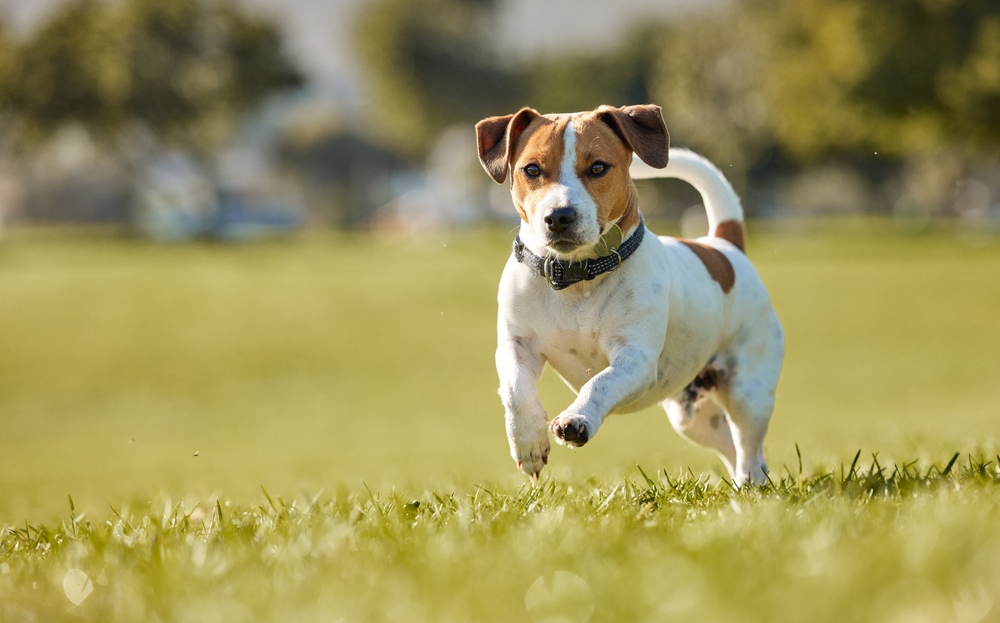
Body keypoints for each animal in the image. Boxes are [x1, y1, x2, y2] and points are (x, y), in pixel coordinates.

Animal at [474, 103, 780, 488]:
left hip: (747, 391)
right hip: (692, 416)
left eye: (598, 167)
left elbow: (600, 383)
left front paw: (577, 419)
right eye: (531, 169)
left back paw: (751, 484)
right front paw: (528, 442)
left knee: (749, 448)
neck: (576, 277)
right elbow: (516, 389)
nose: (559, 216)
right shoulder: (517, 346)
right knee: (731, 445)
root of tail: (723, 246)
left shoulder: (635, 358)